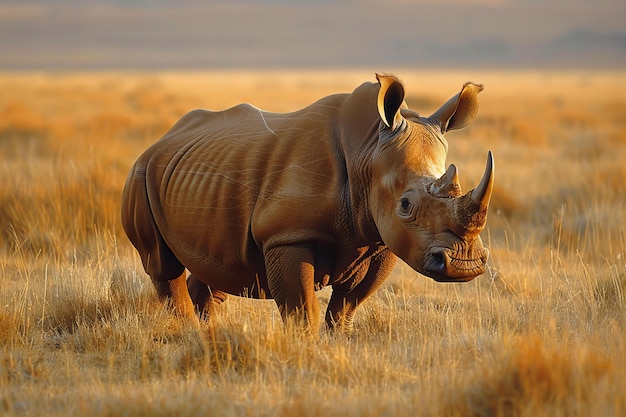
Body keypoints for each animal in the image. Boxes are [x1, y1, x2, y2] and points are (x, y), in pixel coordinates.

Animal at [120, 72, 492, 332]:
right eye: (405, 205)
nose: (464, 264)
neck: (368, 151)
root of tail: (162, 138)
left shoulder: (382, 242)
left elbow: (346, 306)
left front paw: (336, 342)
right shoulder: (287, 235)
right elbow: (302, 310)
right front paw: (306, 348)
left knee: (217, 270)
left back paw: (206, 333)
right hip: (140, 174)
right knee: (162, 265)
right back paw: (187, 332)